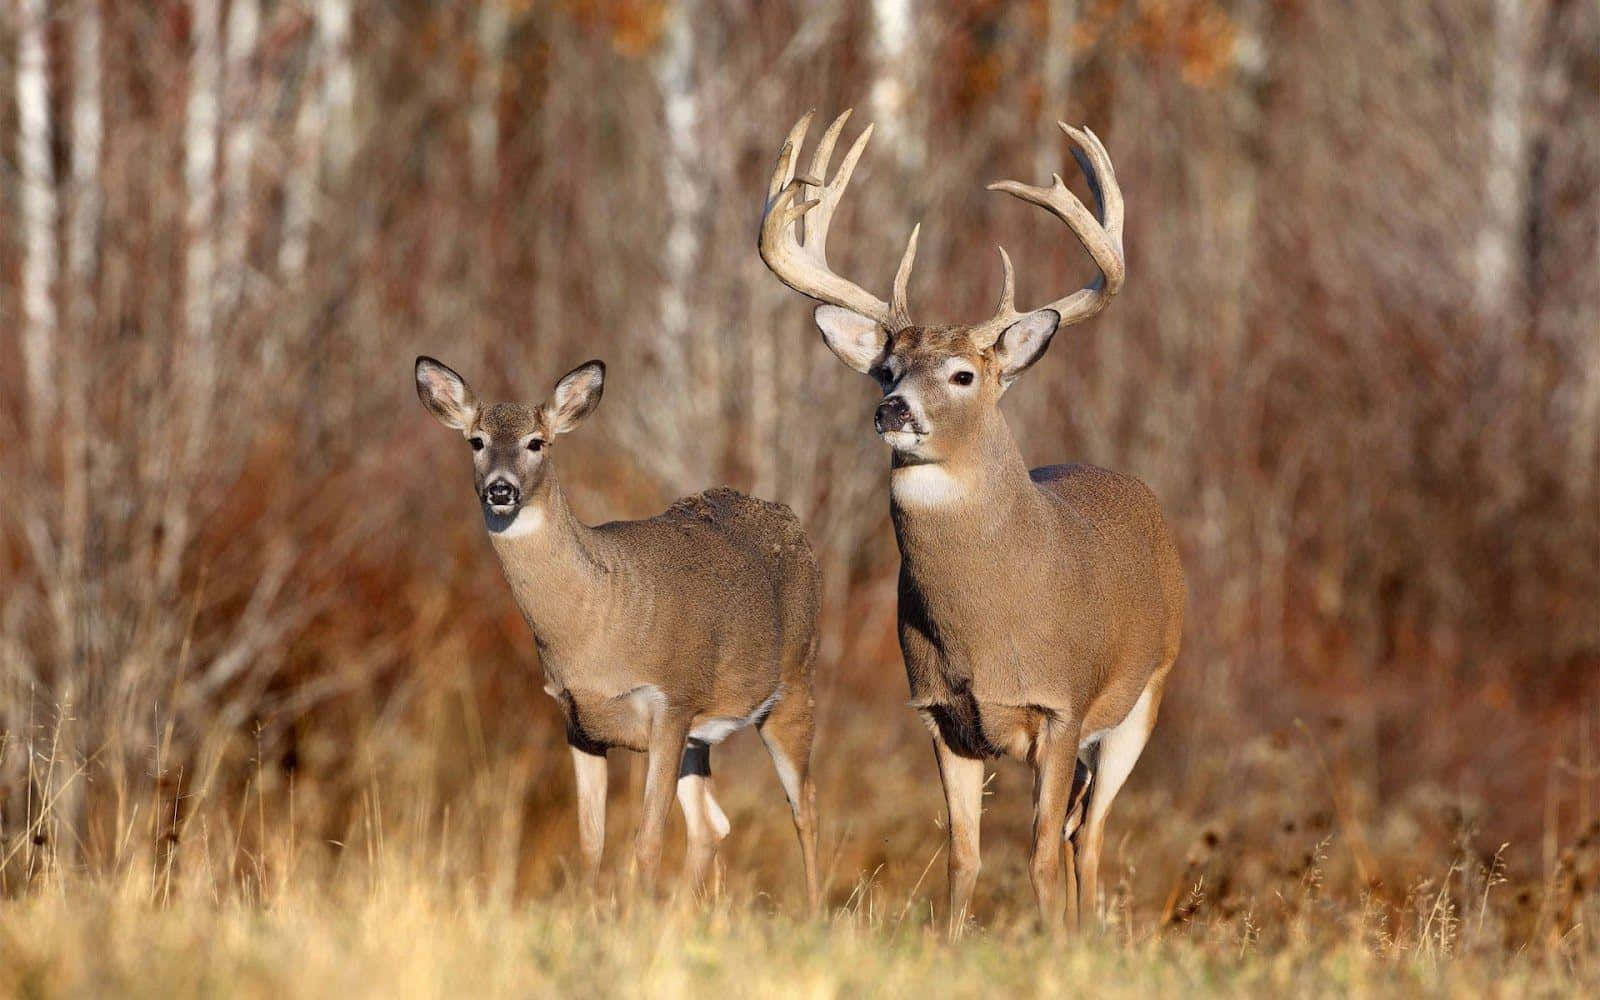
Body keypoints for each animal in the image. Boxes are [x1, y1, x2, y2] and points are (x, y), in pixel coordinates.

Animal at [412, 353, 825, 902]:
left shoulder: (671, 702)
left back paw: (815, 909)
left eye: (537, 442)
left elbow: (647, 841)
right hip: (701, 736)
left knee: (805, 807)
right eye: (475, 441)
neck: (596, 625)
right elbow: (592, 841)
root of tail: (792, 522)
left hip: (794, 683)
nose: (501, 488)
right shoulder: (577, 720)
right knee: (711, 825)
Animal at [755, 112, 1184, 934]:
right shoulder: (940, 714)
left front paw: (1052, 944)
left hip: (1144, 697)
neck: (984, 632)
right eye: (887, 371)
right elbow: (964, 856)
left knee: (1089, 835)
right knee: (1080, 828)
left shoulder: (1060, 705)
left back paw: (1088, 933)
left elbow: (1039, 853)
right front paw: (954, 942)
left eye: (963, 375)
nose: (893, 410)